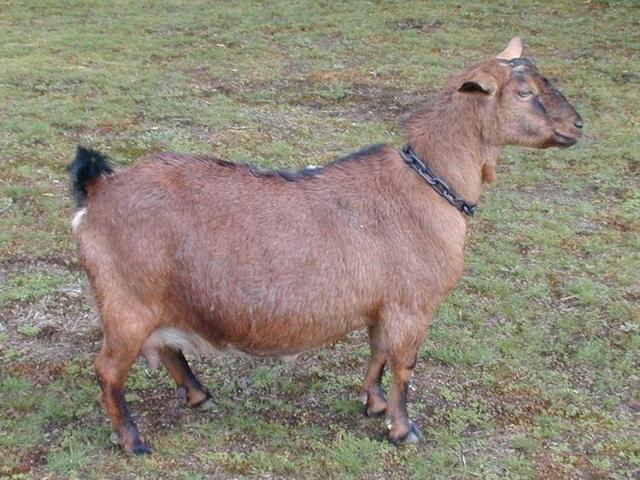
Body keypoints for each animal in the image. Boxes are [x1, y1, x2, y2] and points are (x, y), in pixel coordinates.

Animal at [68, 38, 583, 454]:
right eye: (524, 92)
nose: (578, 125)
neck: (429, 184)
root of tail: (98, 191)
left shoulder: (382, 305)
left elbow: (377, 355)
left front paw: (373, 404)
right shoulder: (412, 305)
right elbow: (404, 366)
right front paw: (403, 429)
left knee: (168, 350)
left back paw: (199, 394)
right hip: (127, 301)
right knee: (108, 370)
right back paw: (133, 440)